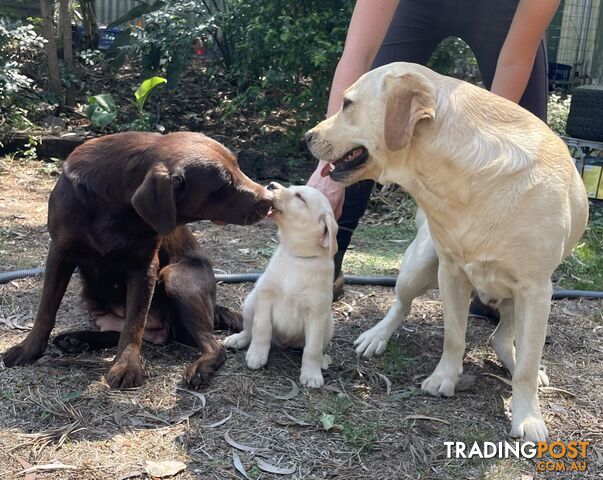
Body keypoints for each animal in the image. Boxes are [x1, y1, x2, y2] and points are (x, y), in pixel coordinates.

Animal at [225, 182, 340, 388]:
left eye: (300, 197)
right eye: (292, 187)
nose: (271, 185)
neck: (298, 258)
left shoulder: (317, 313)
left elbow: (312, 348)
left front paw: (312, 374)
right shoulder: (265, 296)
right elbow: (261, 328)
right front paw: (257, 355)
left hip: (329, 323)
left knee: (315, 347)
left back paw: (322, 360)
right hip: (250, 304)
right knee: (249, 329)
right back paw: (239, 339)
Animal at [304, 62, 588, 440]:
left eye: (347, 103)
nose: (307, 136)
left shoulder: (536, 289)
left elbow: (527, 365)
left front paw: (527, 416)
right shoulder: (451, 272)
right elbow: (454, 336)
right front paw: (444, 378)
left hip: (523, 299)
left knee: (504, 338)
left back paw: (515, 361)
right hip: (418, 267)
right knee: (401, 305)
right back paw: (376, 336)